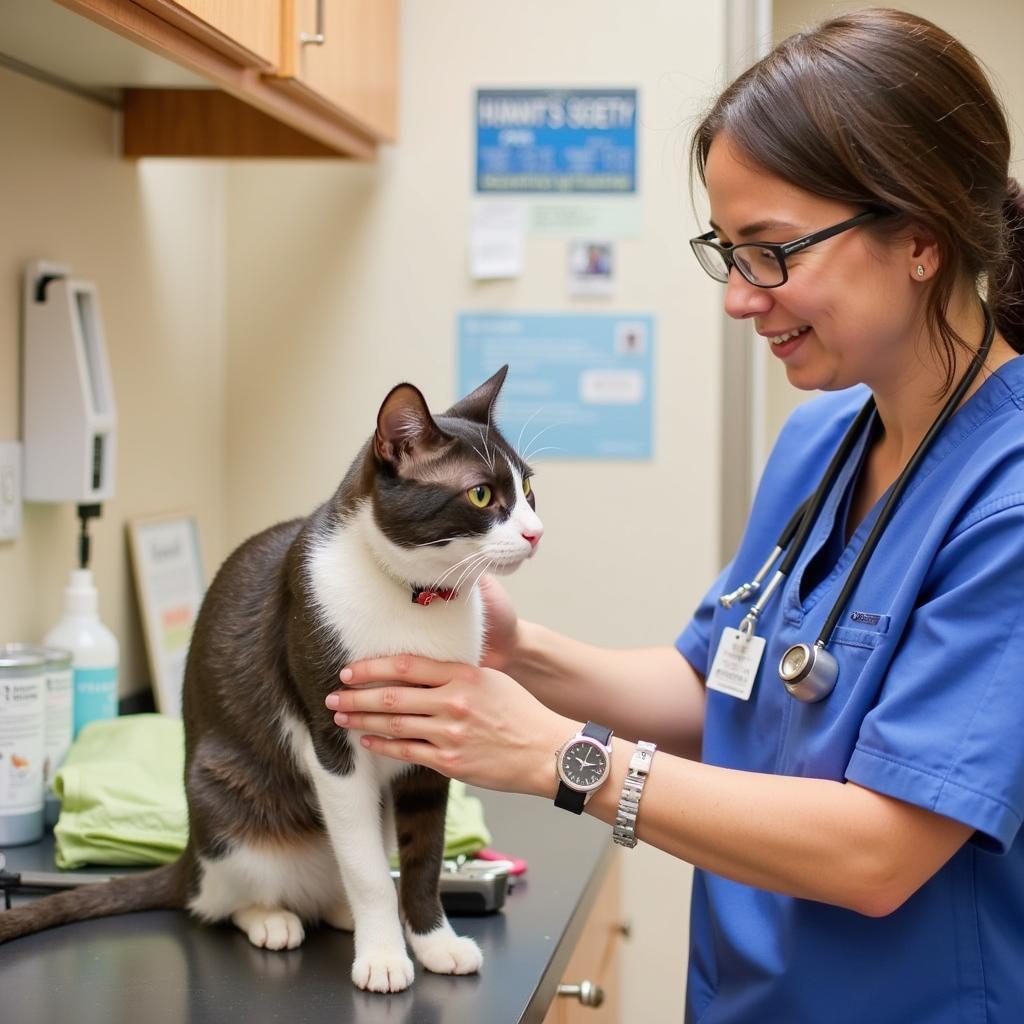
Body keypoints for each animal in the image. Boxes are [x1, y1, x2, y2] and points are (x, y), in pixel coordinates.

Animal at [0, 366, 544, 991]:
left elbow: (424, 856)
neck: (414, 603)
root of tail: (189, 855)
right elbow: (367, 871)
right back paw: (272, 919)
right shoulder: (330, 734)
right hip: (224, 805)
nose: (536, 532)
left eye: (529, 490)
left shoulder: (433, 737)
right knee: (222, 900)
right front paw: (383, 955)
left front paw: (434, 942)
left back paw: (337, 912)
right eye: (481, 494)